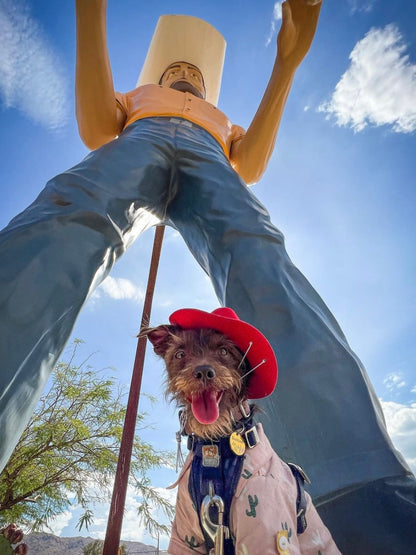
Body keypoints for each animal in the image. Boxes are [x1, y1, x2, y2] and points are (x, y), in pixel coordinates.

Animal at [142, 308, 338, 555]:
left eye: (224, 351)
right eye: (180, 354)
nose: (204, 371)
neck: (215, 445)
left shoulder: (268, 532)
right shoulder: (186, 537)